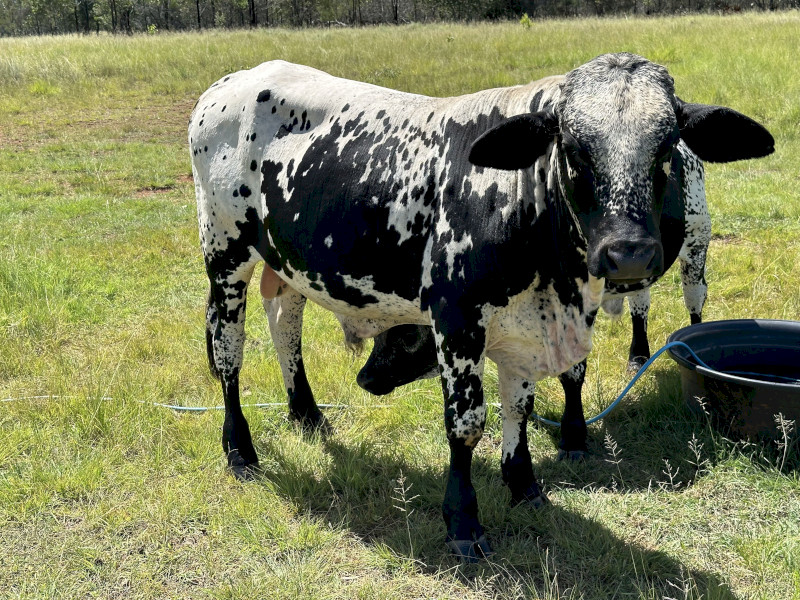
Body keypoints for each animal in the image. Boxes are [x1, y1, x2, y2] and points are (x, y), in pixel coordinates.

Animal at [189, 53, 773, 560]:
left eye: (668, 147)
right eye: (573, 148)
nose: (628, 253)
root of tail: (236, 79)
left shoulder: (530, 327)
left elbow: (522, 406)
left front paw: (525, 485)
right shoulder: (457, 321)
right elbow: (467, 425)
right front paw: (464, 522)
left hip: (285, 262)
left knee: (285, 324)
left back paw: (307, 413)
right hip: (225, 257)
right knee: (228, 352)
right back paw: (240, 450)